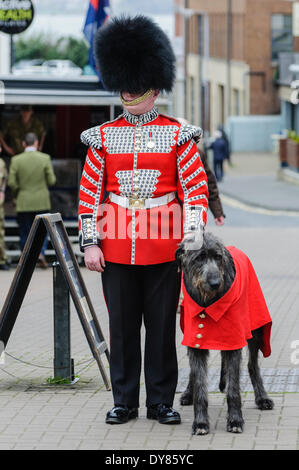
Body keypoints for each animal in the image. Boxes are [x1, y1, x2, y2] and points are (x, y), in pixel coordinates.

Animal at [177, 233, 276, 436]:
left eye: (218, 257)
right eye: (199, 258)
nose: (215, 283)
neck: (208, 302)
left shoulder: (233, 339)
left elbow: (234, 388)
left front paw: (235, 419)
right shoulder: (195, 340)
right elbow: (199, 382)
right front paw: (200, 422)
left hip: (255, 330)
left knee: (252, 365)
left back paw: (262, 398)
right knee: (192, 371)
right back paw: (188, 393)